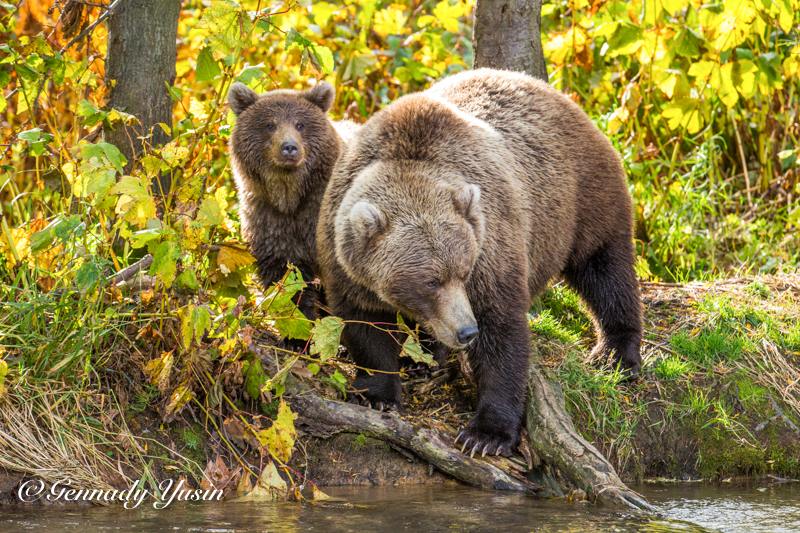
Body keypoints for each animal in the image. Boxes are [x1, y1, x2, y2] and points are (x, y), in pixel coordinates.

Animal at [316, 68, 640, 456]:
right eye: (431, 281)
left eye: (463, 271)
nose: (466, 331)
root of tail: (550, 90)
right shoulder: (346, 262)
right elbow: (365, 324)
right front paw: (377, 393)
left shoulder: (491, 249)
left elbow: (501, 331)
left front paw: (486, 434)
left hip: (580, 196)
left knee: (605, 268)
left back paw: (616, 353)